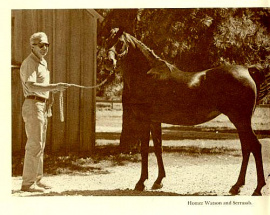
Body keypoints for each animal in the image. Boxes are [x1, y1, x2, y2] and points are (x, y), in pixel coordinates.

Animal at [103, 27, 268, 196]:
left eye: (120, 42)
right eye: (106, 40)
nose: (108, 62)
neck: (147, 74)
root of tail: (247, 70)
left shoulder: (145, 120)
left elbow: (144, 150)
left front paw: (141, 183)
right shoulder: (155, 120)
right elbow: (158, 148)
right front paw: (158, 181)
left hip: (240, 120)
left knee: (255, 147)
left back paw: (257, 188)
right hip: (240, 122)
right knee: (246, 148)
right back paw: (237, 186)